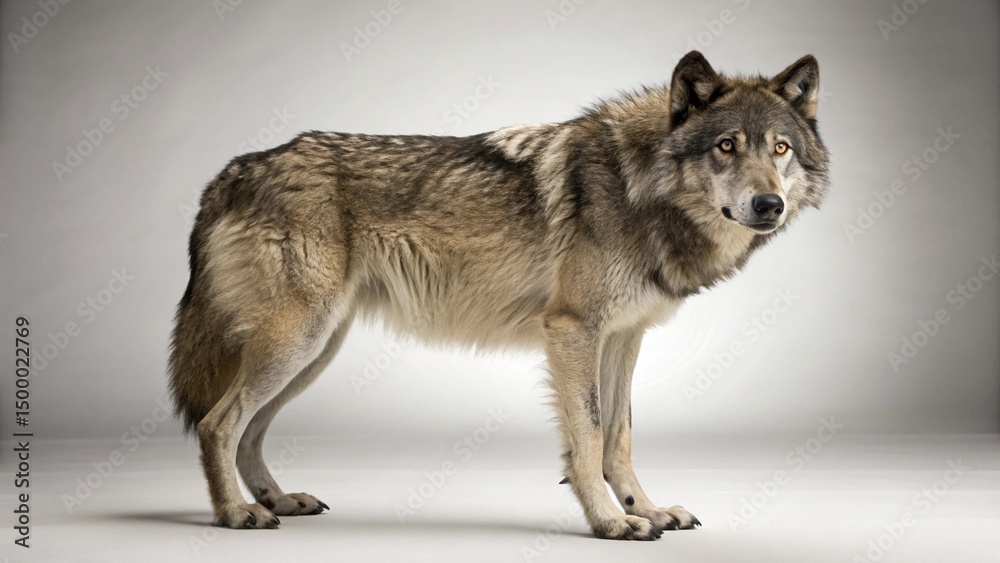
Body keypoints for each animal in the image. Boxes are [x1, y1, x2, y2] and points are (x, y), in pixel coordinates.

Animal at [169, 51, 829, 540]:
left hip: (312, 352)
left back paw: (278, 501)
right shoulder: (573, 331)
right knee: (218, 424)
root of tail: (235, 170)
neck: (640, 186)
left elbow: (619, 437)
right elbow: (588, 438)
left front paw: (646, 510)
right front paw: (610, 522)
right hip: (297, 344)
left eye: (779, 148)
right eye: (726, 146)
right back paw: (237, 514)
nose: (768, 205)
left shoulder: (623, 337)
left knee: (249, 431)